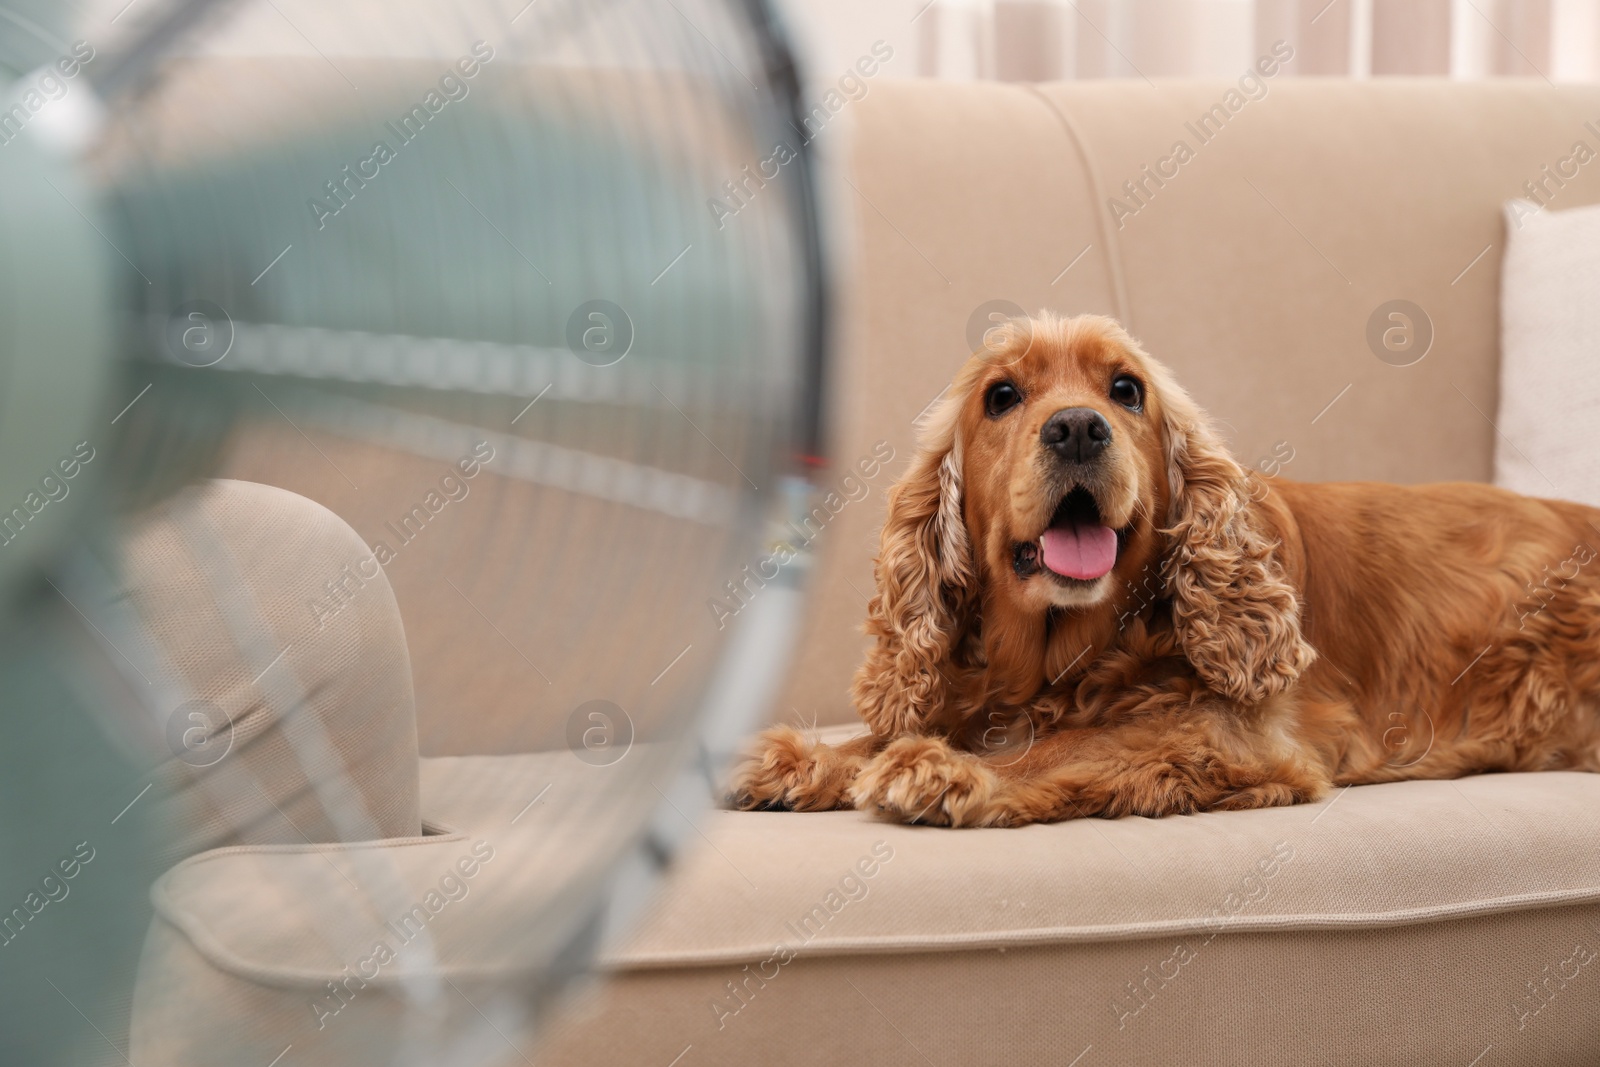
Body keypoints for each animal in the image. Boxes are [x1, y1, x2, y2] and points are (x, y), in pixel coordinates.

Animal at [732, 310, 1600, 825]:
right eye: (1001, 395)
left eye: (1126, 389)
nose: (1078, 427)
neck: (1058, 656)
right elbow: (896, 729)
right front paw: (811, 758)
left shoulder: (1233, 736)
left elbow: (1064, 747)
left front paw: (943, 770)